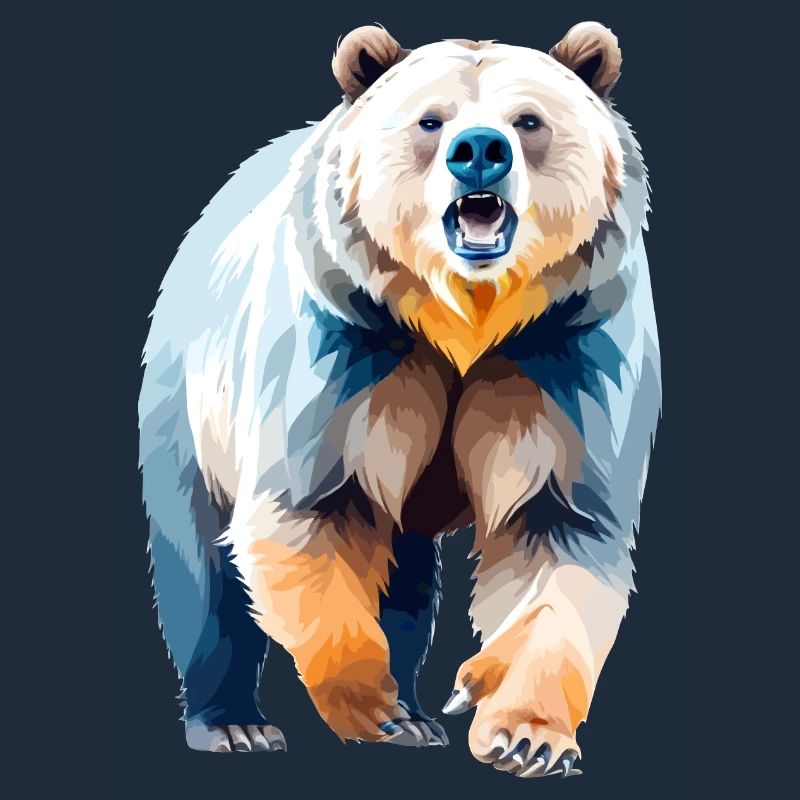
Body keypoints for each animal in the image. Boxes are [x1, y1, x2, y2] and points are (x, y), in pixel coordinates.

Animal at [138, 21, 660, 776]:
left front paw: (523, 733)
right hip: (190, 397)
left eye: (529, 120)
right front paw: (374, 709)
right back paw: (235, 722)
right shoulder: (351, 349)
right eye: (431, 120)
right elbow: (308, 511)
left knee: (408, 580)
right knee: (202, 564)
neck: (464, 321)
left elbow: (560, 533)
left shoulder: (562, 355)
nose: (480, 153)